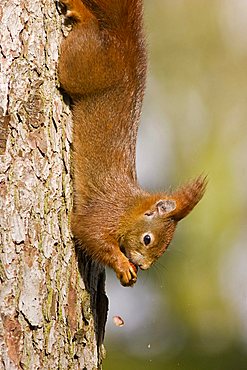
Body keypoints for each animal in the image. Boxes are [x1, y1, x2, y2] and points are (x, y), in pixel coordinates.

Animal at [58, 0, 206, 286]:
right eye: (147, 239)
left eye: (163, 250)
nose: (144, 266)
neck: (129, 208)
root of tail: (125, 44)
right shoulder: (105, 212)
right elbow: (87, 231)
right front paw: (123, 265)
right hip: (81, 67)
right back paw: (82, 12)